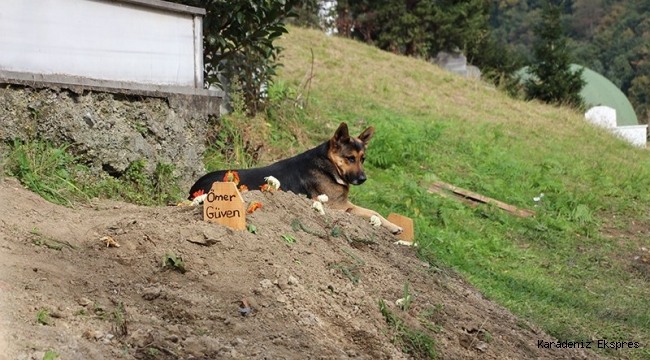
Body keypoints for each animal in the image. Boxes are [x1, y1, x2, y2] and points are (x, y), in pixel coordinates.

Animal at [185, 122, 402, 235]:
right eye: (350, 158)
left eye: (362, 159)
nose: (363, 179)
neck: (328, 163)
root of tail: (193, 189)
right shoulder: (339, 207)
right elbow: (373, 212)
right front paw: (394, 227)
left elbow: (374, 212)